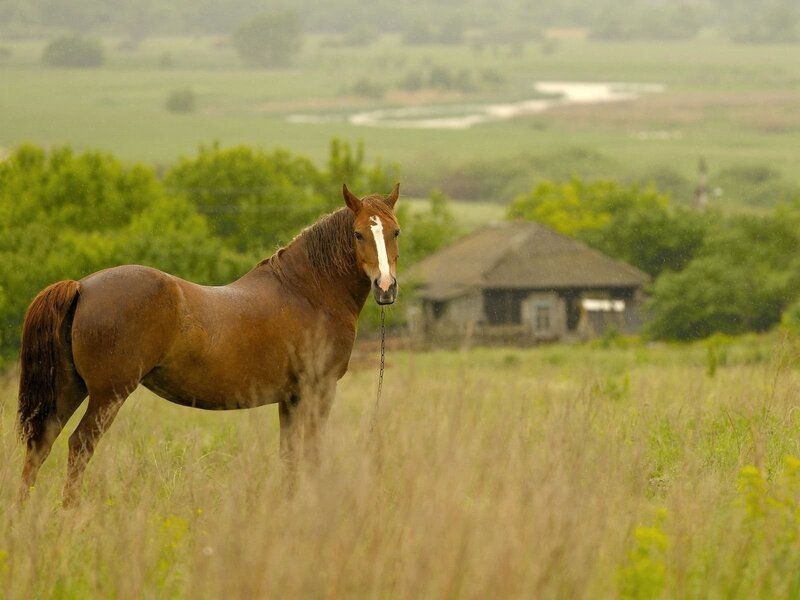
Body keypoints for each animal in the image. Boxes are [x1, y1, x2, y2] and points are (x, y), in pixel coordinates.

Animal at [17, 184, 401, 506]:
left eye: (395, 231)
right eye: (358, 234)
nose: (386, 287)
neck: (307, 291)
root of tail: (82, 287)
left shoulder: (290, 398)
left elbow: (289, 455)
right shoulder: (318, 390)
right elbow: (311, 453)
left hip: (70, 388)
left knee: (41, 445)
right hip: (107, 395)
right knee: (79, 445)